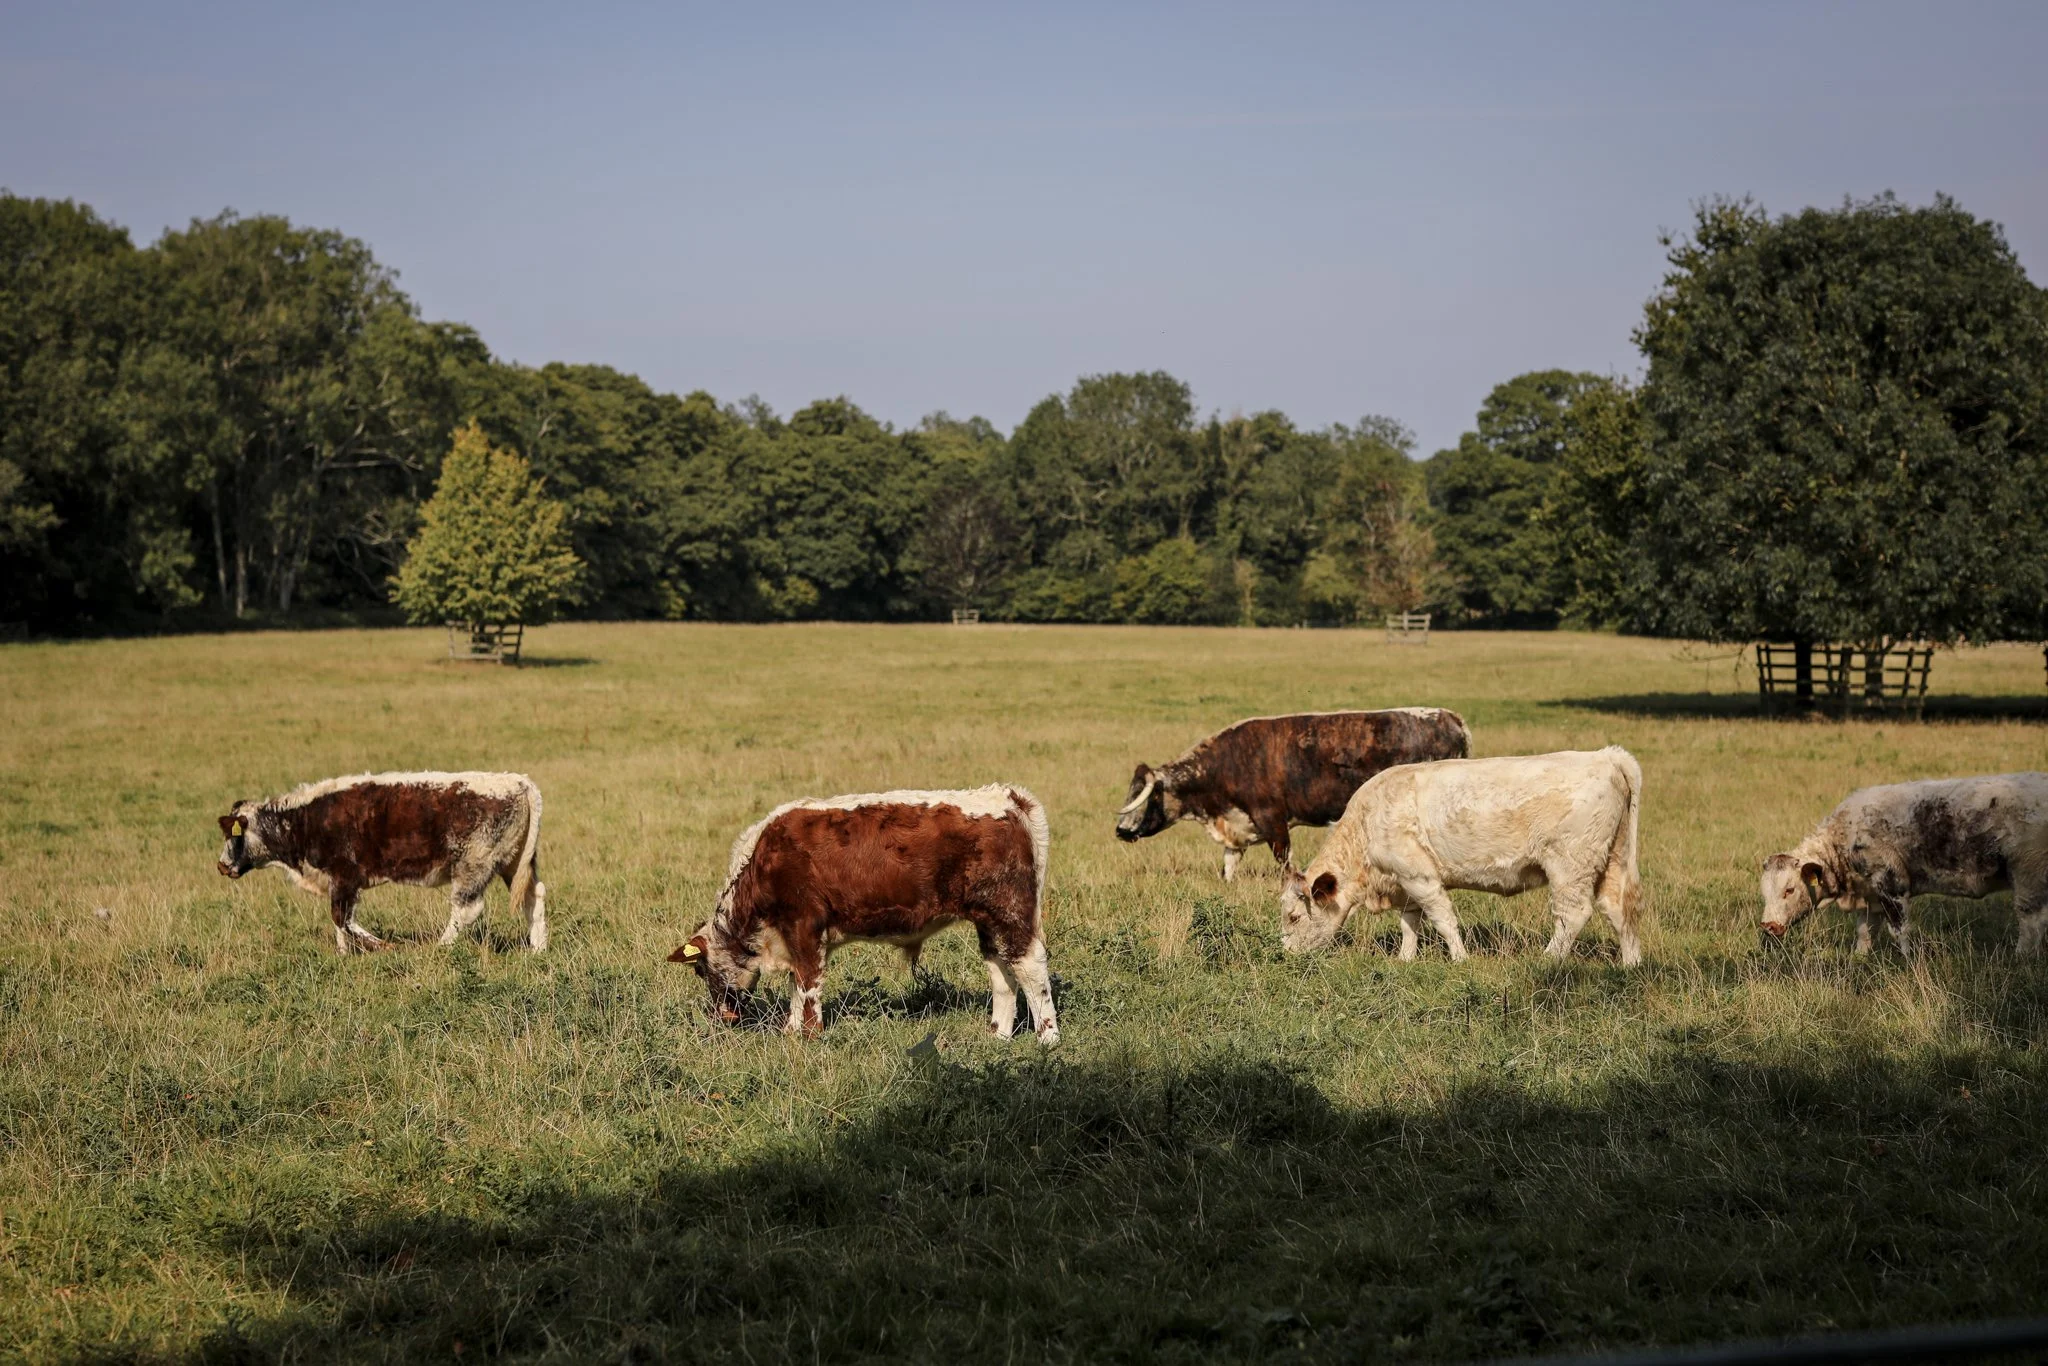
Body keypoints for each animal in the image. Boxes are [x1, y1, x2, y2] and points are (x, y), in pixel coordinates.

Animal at [215, 771, 547, 954]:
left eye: (236, 833)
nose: (221, 865)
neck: (305, 819)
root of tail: (516, 780)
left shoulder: (344, 875)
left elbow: (342, 918)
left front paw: (382, 946)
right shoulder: (340, 882)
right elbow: (340, 921)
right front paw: (344, 954)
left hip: (473, 866)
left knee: (467, 910)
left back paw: (442, 946)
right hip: (514, 863)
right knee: (534, 895)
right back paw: (538, 948)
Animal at [670, 785, 1059, 1043]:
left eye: (700, 970)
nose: (724, 1017)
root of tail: (1008, 797)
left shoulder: (804, 927)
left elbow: (808, 984)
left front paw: (807, 1035)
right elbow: (797, 983)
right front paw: (791, 1030)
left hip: (1010, 910)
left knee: (1030, 967)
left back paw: (1047, 1039)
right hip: (989, 920)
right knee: (1001, 970)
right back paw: (998, 1036)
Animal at [1114, 708, 1471, 880]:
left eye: (1146, 797)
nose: (1120, 830)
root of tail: (1450, 717)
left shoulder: (1272, 819)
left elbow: (1284, 861)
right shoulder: (1238, 826)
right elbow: (1229, 865)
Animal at [1280, 747, 1644, 965]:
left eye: (1294, 917)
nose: (1286, 952)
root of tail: (1606, 757)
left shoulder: (1419, 876)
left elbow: (1443, 920)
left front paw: (1460, 958)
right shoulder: (1406, 883)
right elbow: (1409, 923)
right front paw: (1405, 959)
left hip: (1569, 867)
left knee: (1573, 914)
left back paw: (1547, 960)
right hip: (1612, 861)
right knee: (1618, 908)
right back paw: (1630, 964)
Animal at [1760, 773, 2048, 955]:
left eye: (1789, 890)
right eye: (1764, 894)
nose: (1768, 926)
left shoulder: (1891, 884)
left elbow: (1899, 929)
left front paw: (1906, 961)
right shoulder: (1868, 896)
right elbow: (1864, 932)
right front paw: (1859, 959)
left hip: (2027, 873)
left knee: (2030, 920)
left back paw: (2021, 957)